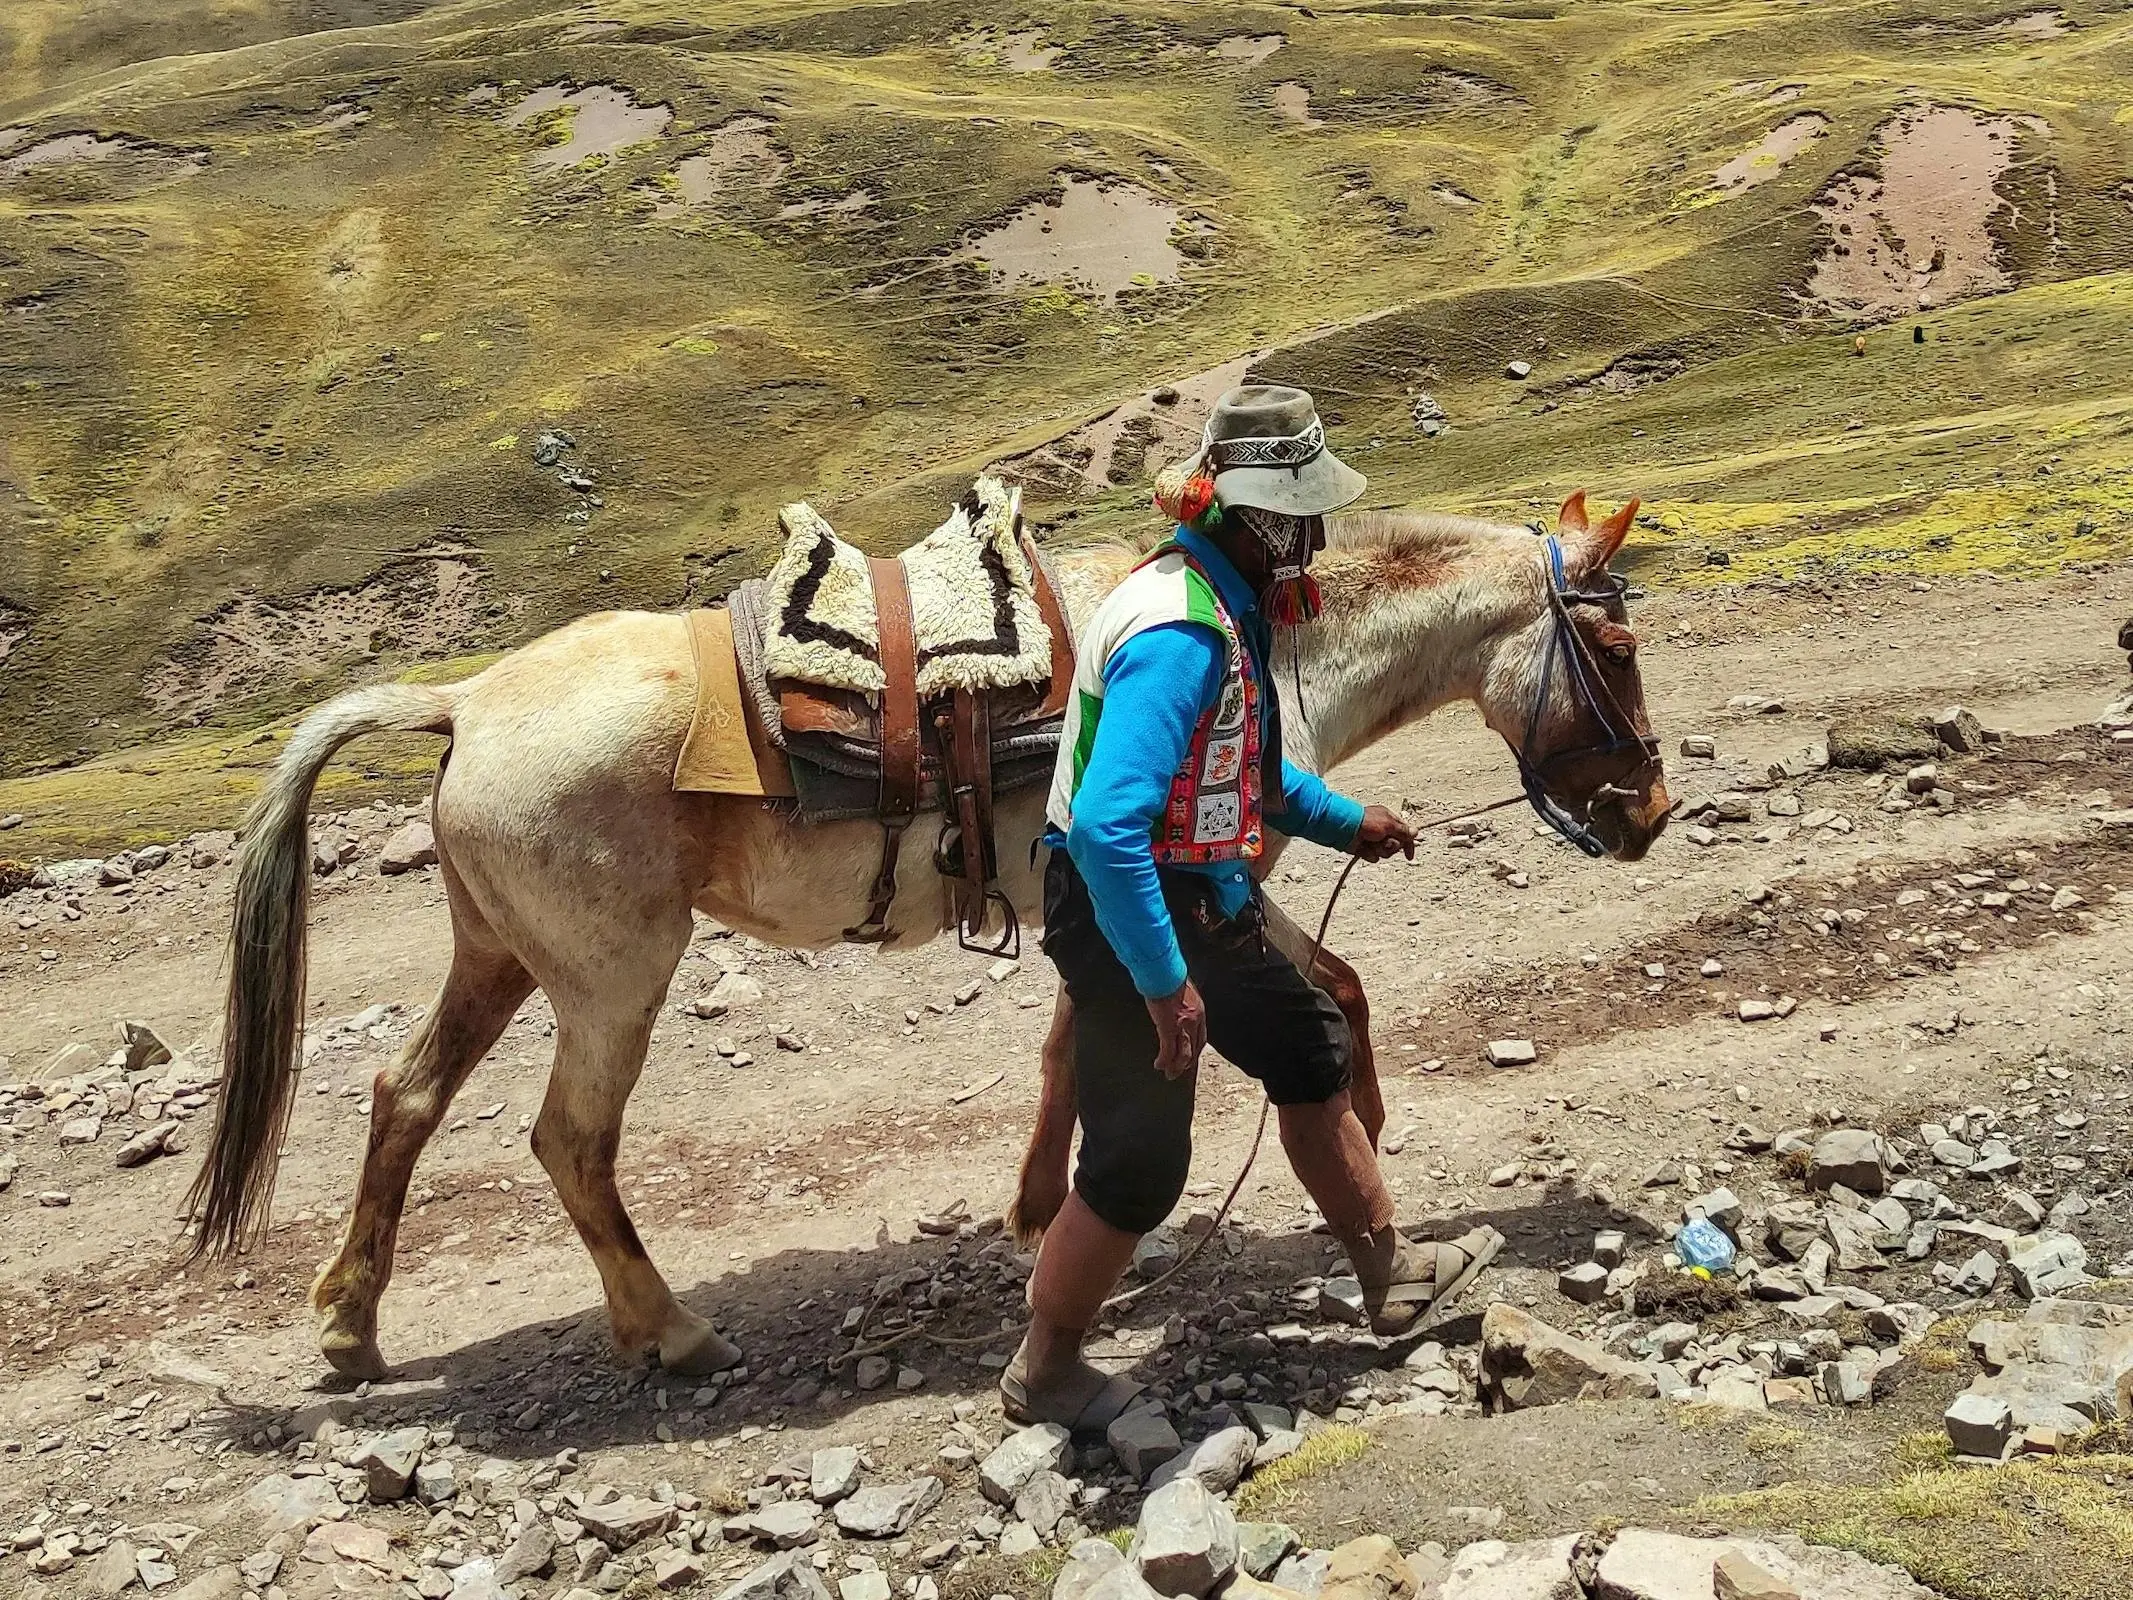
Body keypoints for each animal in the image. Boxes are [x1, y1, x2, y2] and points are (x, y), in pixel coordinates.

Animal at [187, 488, 1663, 1382]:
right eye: (1619, 651)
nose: (1650, 810)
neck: (1262, 649)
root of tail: (465, 700)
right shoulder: (1203, 886)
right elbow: (1335, 990)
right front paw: (1362, 1128)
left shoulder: (1105, 910)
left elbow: (1078, 1050)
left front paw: (1035, 1211)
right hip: (611, 983)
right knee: (568, 1143)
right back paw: (669, 1328)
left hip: (496, 958)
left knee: (403, 1097)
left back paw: (351, 1325)